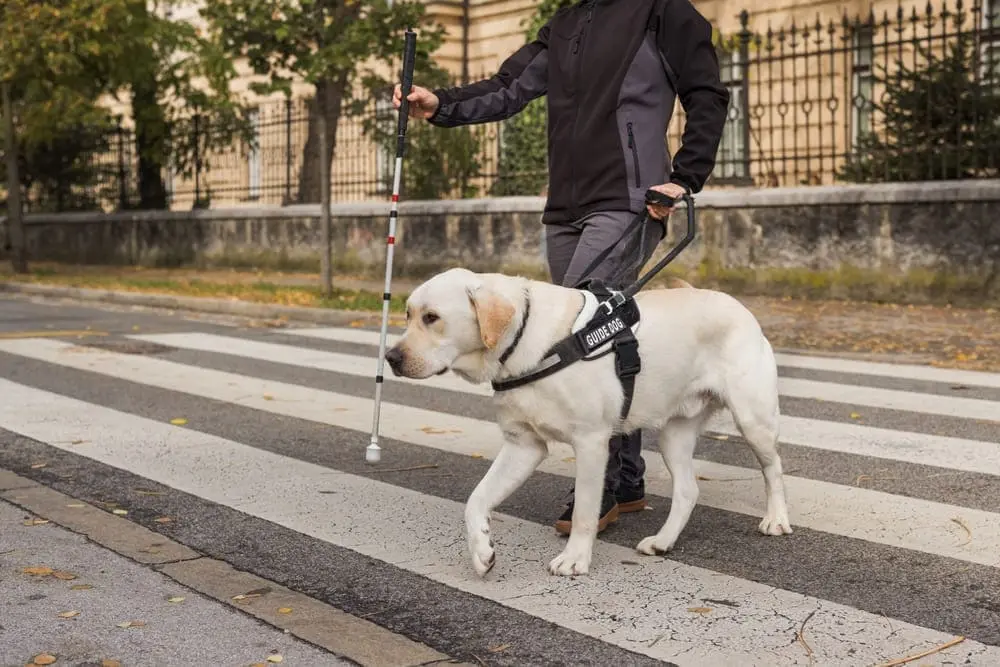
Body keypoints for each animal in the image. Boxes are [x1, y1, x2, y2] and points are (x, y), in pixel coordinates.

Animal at [386, 266, 792, 580]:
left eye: (432, 318)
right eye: (406, 314)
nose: (391, 357)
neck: (527, 341)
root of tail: (737, 304)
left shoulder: (591, 442)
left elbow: (583, 510)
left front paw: (575, 559)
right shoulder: (523, 445)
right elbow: (476, 499)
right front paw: (481, 550)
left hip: (753, 418)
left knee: (774, 469)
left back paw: (776, 519)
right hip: (674, 434)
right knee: (689, 490)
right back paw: (663, 541)